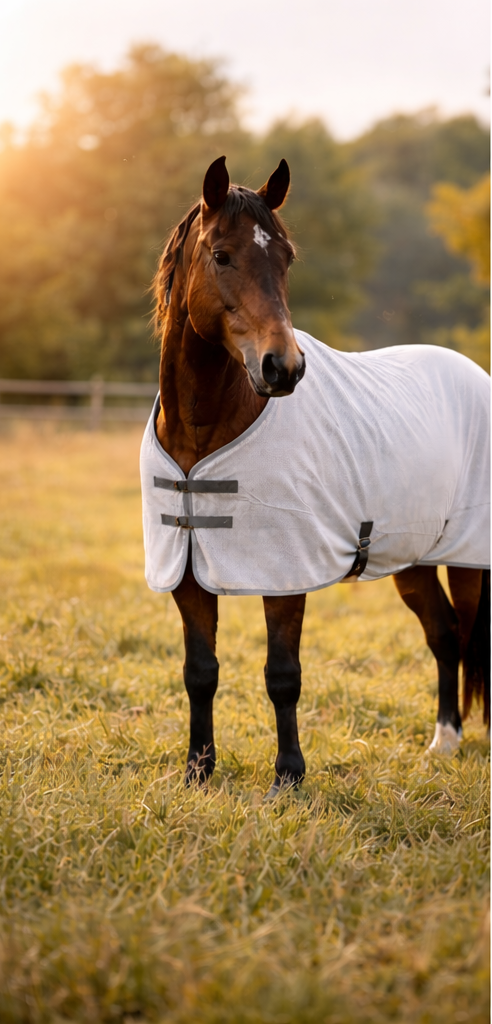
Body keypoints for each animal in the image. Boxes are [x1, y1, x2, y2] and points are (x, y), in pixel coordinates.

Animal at [141, 155, 490, 796]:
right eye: (221, 254)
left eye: (286, 257)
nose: (284, 367)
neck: (205, 433)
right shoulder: (186, 570)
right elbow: (200, 670)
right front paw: (198, 771)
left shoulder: (285, 573)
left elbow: (283, 673)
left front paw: (288, 778)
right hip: (415, 558)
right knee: (445, 633)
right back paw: (443, 741)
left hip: (469, 556)